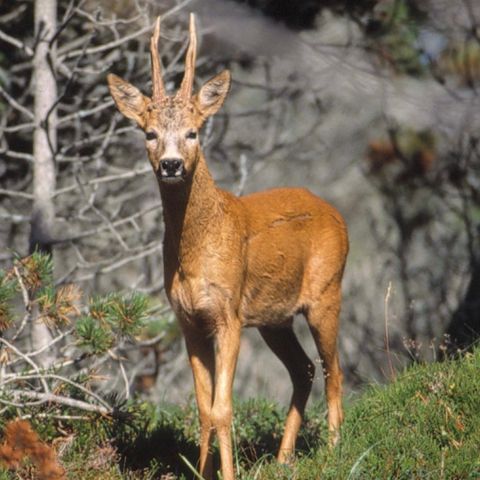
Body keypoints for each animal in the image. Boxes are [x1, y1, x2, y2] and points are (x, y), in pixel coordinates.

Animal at [108, 14, 348, 480]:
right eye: (149, 133)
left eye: (193, 132)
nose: (171, 165)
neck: (195, 253)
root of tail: (336, 214)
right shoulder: (188, 320)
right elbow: (203, 409)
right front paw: (202, 472)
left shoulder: (229, 313)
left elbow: (222, 408)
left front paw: (227, 472)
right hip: (275, 318)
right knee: (305, 369)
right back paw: (284, 457)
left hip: (326, 293)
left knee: (334, 369)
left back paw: (333, 451)